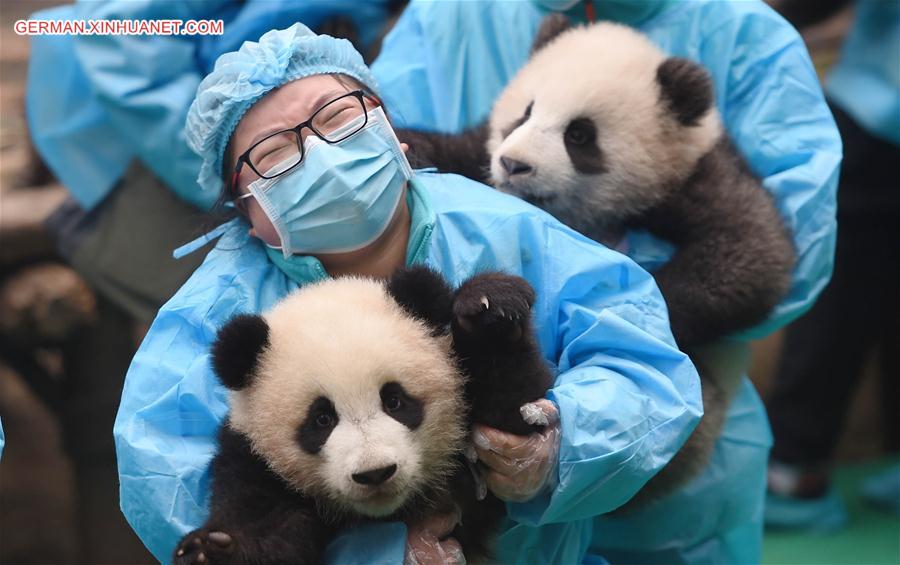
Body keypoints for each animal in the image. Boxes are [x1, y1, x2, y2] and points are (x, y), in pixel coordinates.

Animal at [173, 266, 552, 564]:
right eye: (321, 419)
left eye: (394, 401)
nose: (375, 473)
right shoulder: (255, 463)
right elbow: (264, 527)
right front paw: (211, 553)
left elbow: (512, 409)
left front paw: (488, 308)